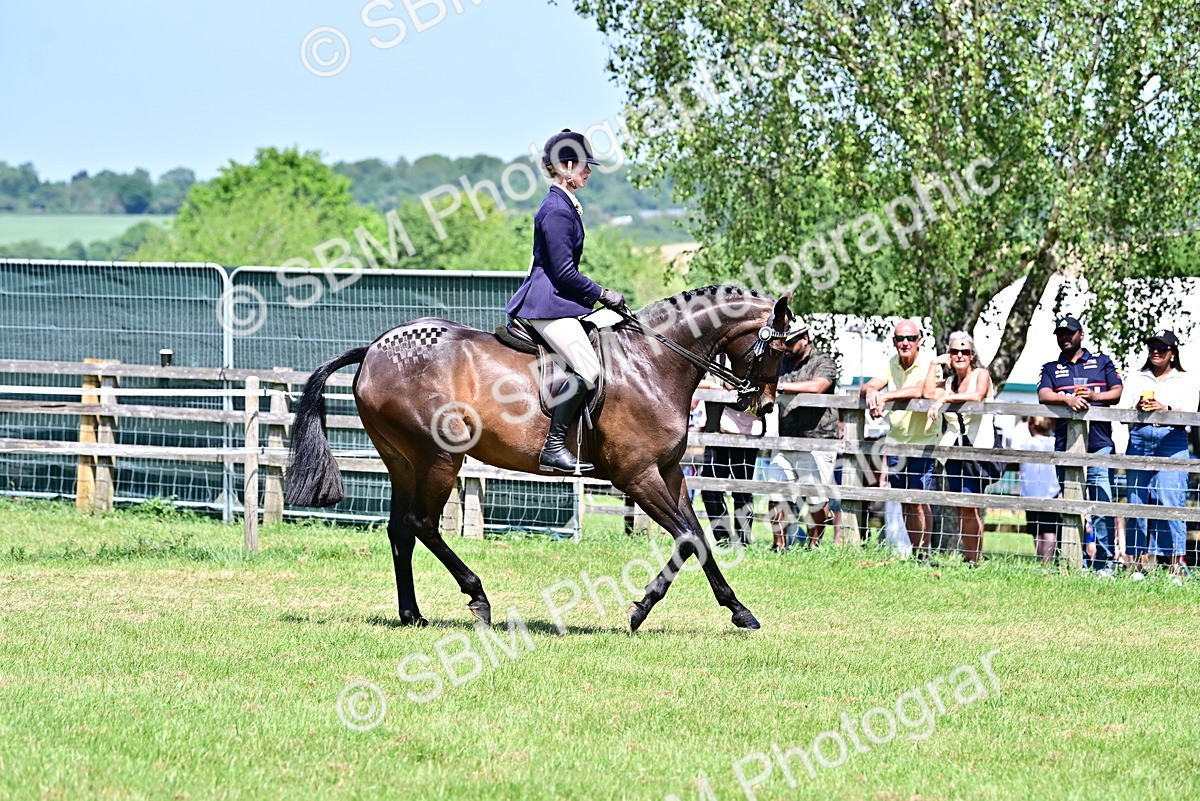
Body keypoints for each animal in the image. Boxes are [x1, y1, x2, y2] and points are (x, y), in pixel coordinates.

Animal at [284, 285, 792, 632]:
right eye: (783, 347)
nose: (765, 405)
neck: (651, 363)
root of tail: (373, 349)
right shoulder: (637, 476)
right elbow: (688, 537)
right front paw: (640, 610)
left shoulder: (669, 472)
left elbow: (698, 539)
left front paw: (738, 611)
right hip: (439, 458)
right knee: (421, 523)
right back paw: (478, 598)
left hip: (403, 463)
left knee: (399, 531)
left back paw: (412, 614)